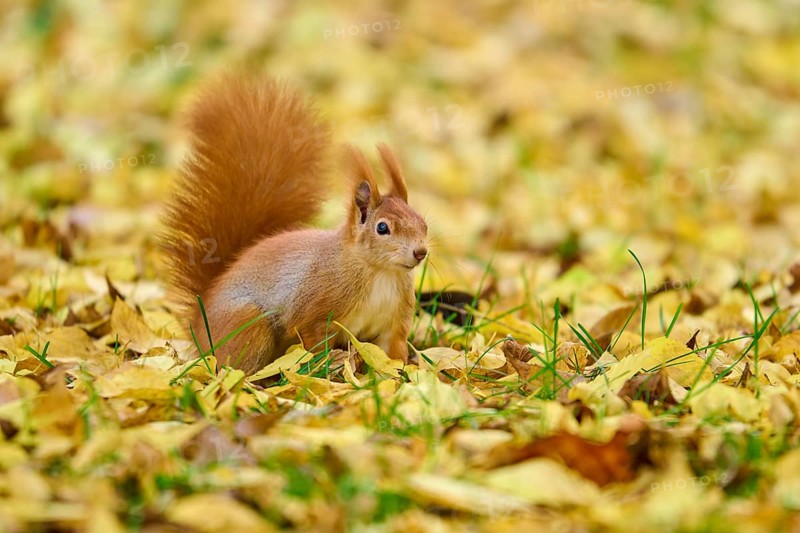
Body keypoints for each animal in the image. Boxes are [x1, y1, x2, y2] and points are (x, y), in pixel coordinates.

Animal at [160, 74, 429, 374]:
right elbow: (310, 337)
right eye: (382, 228)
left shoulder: (394, 322)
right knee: (235, 369)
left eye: (423, 222)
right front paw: (330, 362)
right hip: (249, 325)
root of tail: (200, 324)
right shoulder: (316, 307)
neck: (381, 273)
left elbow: (392, 351)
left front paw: (406, 369)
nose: (421, 252)